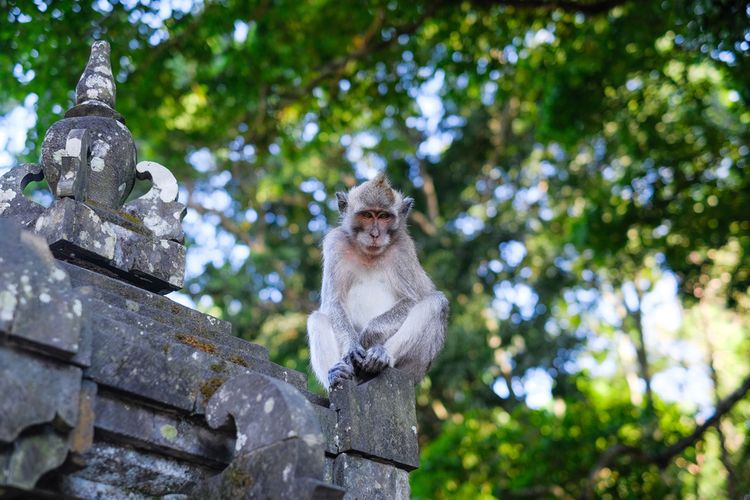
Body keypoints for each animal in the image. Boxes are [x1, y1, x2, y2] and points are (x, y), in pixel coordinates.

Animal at [308, 173, 450, 390]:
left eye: (384, 216)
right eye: (367, 215)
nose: (375, 234)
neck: (369, 255)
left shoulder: (403, 249)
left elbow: (412, 300)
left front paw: (368, 335)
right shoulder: (335, 243)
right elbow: (333, 302)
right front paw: (352, 345)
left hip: (414, 370)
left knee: (436, 303)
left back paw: (381, 356)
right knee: (318, 319)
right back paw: (336, 374)